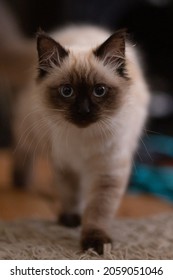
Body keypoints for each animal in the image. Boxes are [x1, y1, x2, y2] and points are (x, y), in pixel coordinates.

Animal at [12, 25, 149, 254]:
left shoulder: (107, 172)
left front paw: (96, 244)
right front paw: (71, 220)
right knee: (22, 151)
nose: (83, 111)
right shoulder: (66, 166)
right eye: (67, 91)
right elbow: (71, 195)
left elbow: (98, 210)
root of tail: (81, 26)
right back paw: (20, 182)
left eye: (99, 91)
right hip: (32, 132)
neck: (84, 138)